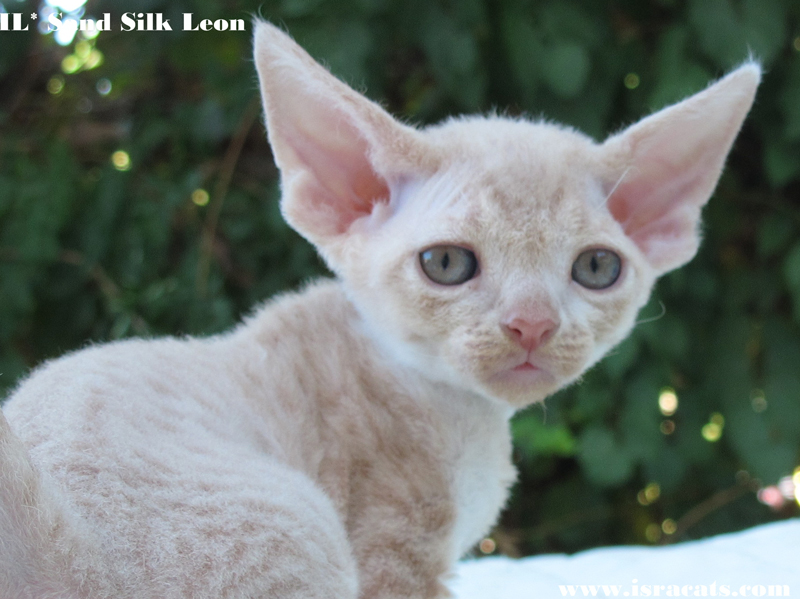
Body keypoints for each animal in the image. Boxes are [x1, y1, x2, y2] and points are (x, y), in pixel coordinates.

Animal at [0, 21, 756, 599]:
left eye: (596, 269)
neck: (457, 409)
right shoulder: (395, 548)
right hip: (301, 520)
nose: (532, 323)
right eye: (447, 263)